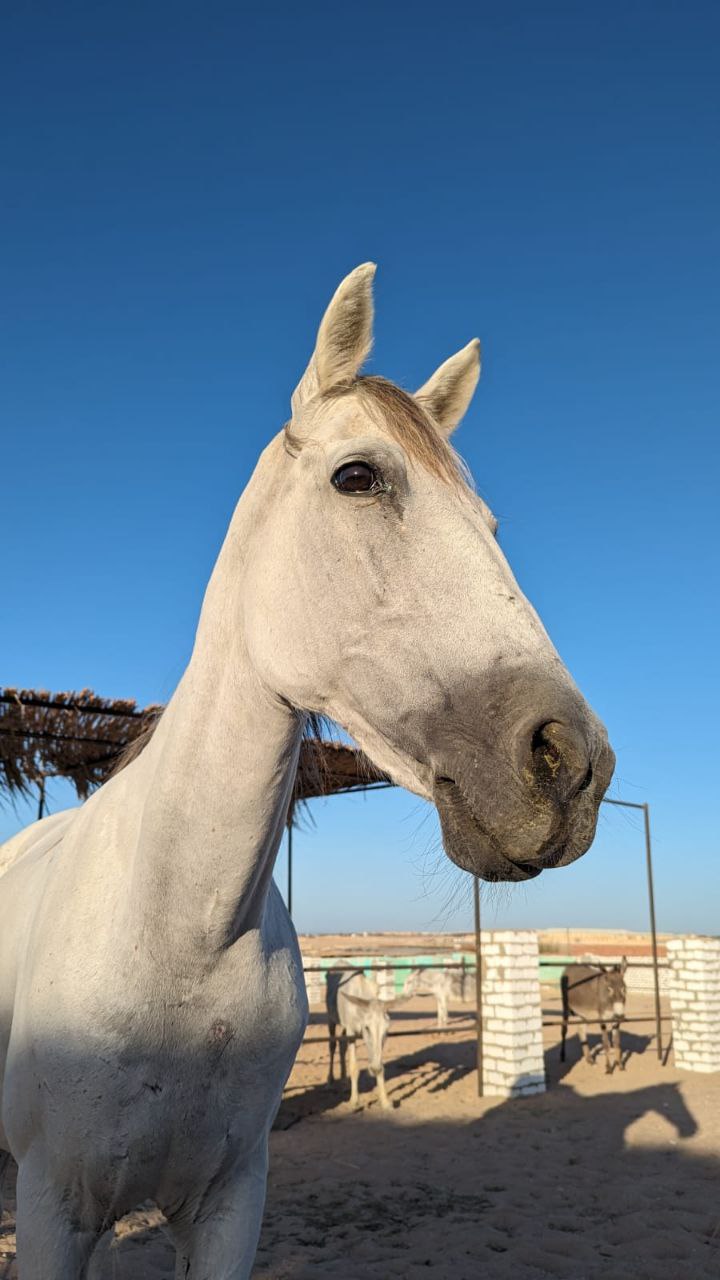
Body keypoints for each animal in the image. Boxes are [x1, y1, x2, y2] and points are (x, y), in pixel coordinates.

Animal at [0, 262, 614, 1278]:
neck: (179, 936)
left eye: (489, 523)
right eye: (357, 477)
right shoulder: (54, 1213)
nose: (570, 766)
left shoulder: (228, 1206)